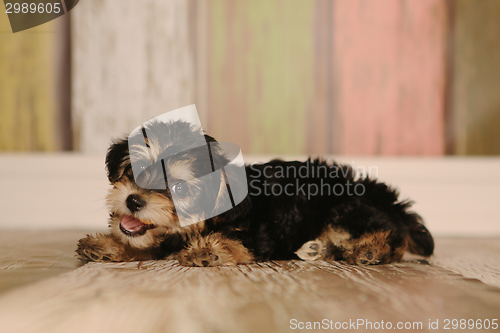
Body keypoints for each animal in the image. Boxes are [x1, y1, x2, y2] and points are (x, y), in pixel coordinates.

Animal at [77, 120, 434, 266]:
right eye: (134, 172)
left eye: (178, 187)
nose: (134, 200)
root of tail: (382, 195)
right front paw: (107, 245)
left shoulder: (256, 234)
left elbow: (234, 241)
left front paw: (207, 250)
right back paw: (319, 249)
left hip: (344, 208)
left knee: (390, 235)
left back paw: (368, 250)